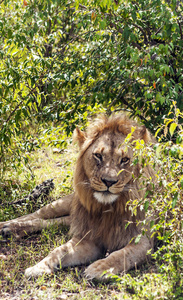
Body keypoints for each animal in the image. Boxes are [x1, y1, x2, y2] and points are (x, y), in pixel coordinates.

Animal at [0, 114, 155, 278]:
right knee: (38, 214)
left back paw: (10, 230)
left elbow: (122, 255)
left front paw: (100, 268)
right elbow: (59, 250)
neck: (107, 209)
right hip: (64, 203)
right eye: (98, 156)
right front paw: (39, 267)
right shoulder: (88, 236)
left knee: (55, 222)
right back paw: (8, 226)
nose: (109, 181)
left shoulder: (143, 241)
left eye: (125, 159)